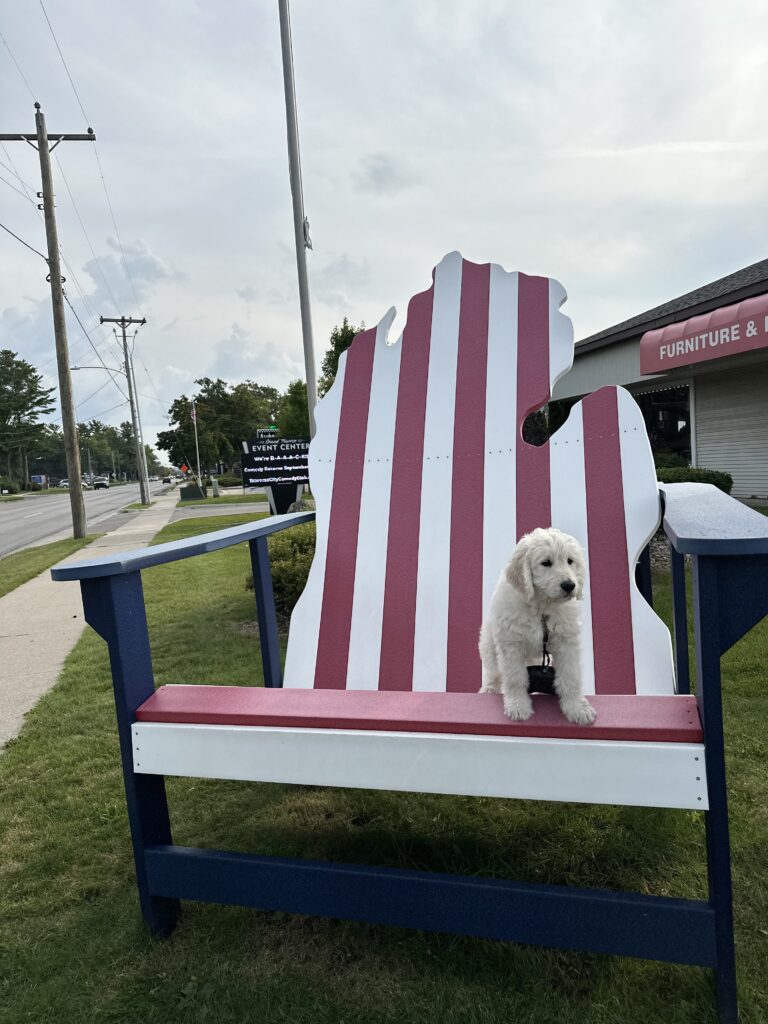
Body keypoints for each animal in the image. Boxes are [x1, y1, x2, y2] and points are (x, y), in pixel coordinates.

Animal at [478, 527, 597, 725]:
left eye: (570, 561)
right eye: (546, 563)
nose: (569, 585)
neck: (542, 606)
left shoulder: (567, 641)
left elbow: (570, 676)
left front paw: (578, 708)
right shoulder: (511, 642)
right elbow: (514, 677)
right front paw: (518, 706)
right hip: (488, 643)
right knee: (492, 670)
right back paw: (489, 689)